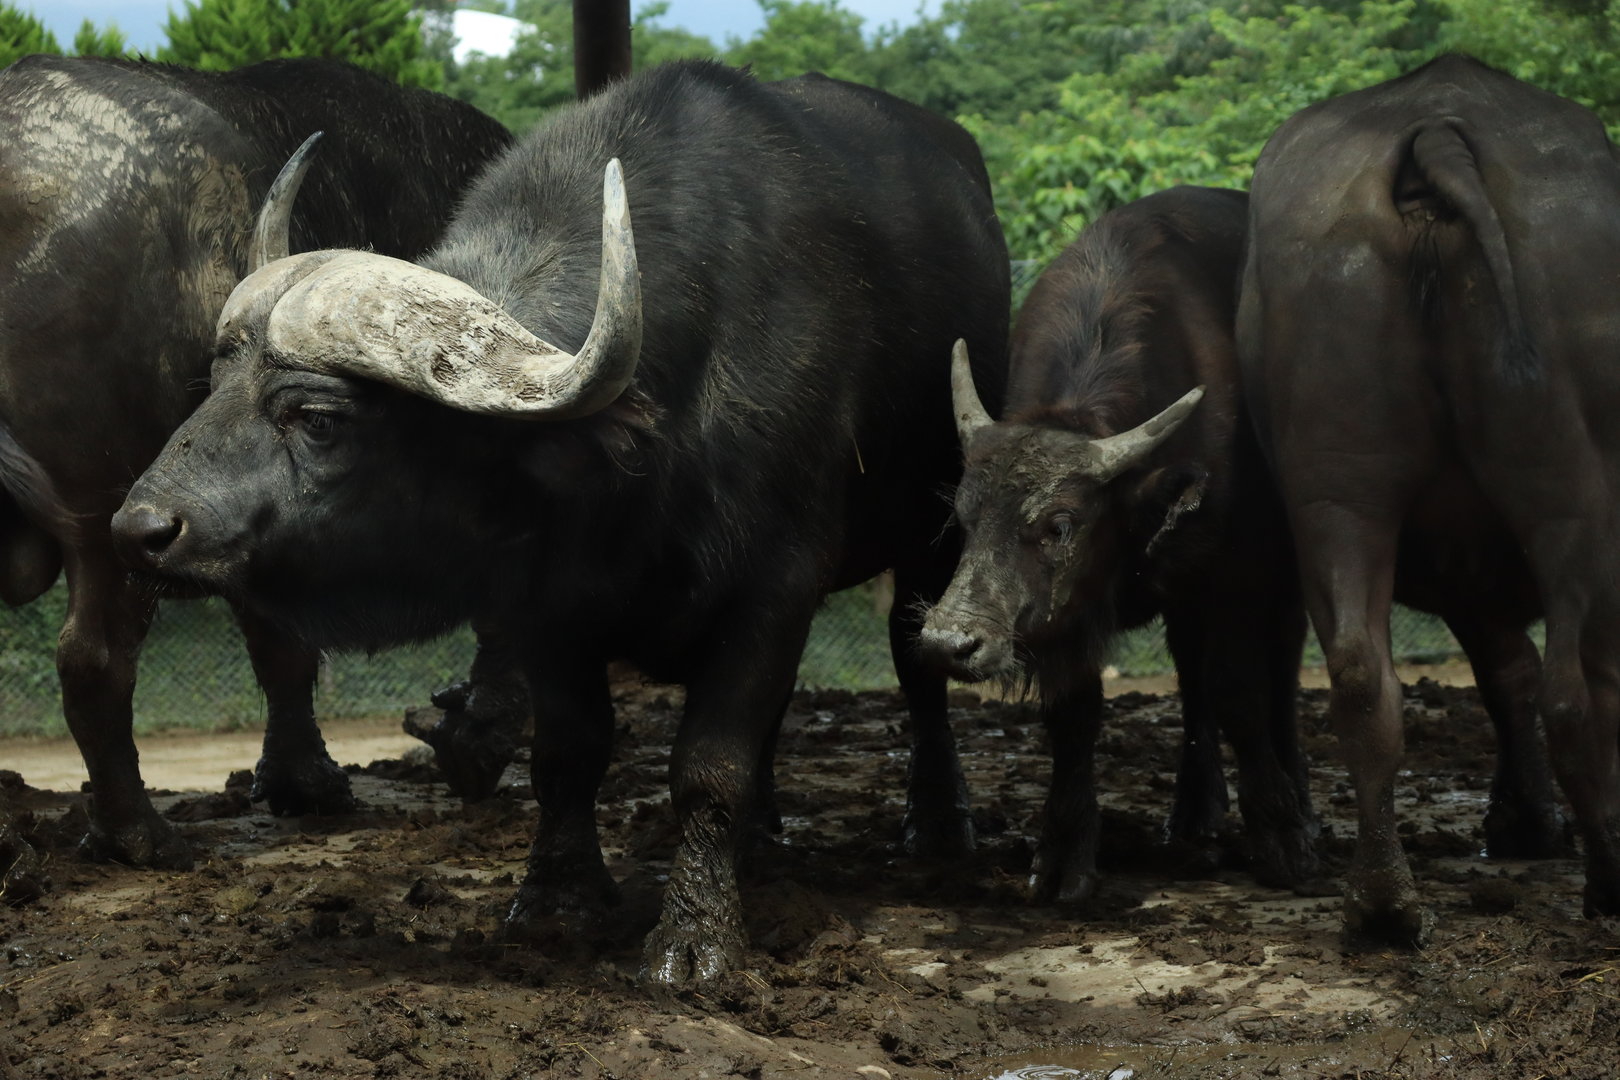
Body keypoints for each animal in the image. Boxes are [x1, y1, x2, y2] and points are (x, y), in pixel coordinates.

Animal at [113, 60, 1010, 984]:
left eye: (318, 418)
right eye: (216, 382)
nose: (142, 526)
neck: (642, 447)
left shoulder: (774, 584)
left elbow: (710, 763)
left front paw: (696, 940)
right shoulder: (547, 604)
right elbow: (568, 751)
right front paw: (557, 901)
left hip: (935, 527)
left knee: (914, 662)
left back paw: (937, 825)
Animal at [921, 187, 1318, 902]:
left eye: (1059, 525)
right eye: (964, 519)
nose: (948, 642)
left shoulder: (1237, 572)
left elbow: (1239, 688)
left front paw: (1281, 833)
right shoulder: (1066, 618)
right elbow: (1075, 711)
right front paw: (1064, 852)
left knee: (1278, 668)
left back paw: (1298, 800)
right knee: (1191, 672)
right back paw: (1194, 813)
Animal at [1239, 54, 1609, 944]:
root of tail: (1434, 134)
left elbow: (1505, 669)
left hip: (1339, 476)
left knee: (1360, 669)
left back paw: (1381, 904)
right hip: (1571, 481)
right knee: (1579, 679)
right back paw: (1609, 881)